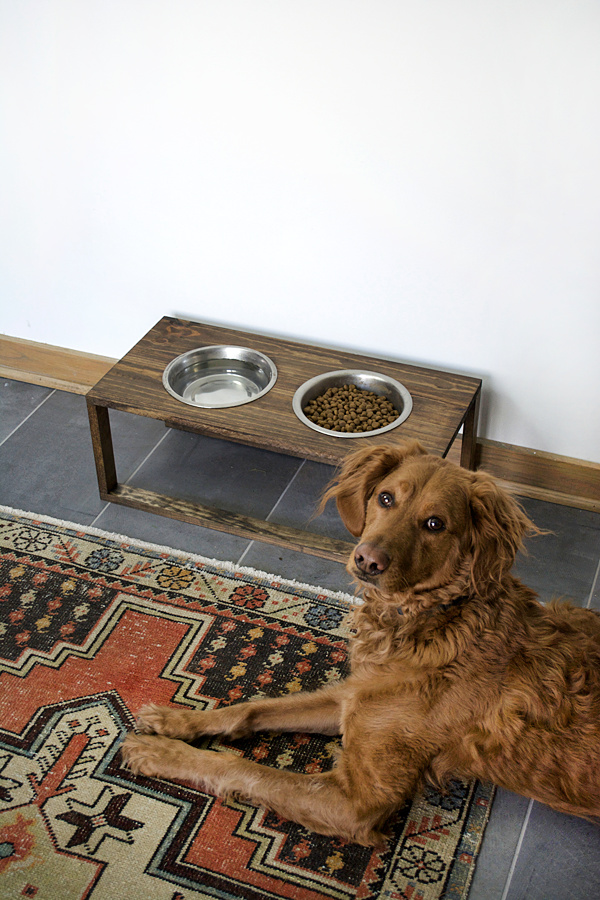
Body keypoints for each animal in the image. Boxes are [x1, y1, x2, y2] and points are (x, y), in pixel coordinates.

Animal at [120, 442, 600, 844]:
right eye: (385, 498)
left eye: (435, 524)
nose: (367, 560)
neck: (429, 624)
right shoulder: (354, 698)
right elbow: (251, 709)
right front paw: (175, 721)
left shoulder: (359, 802)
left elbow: (240, 766)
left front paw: (159, 751)